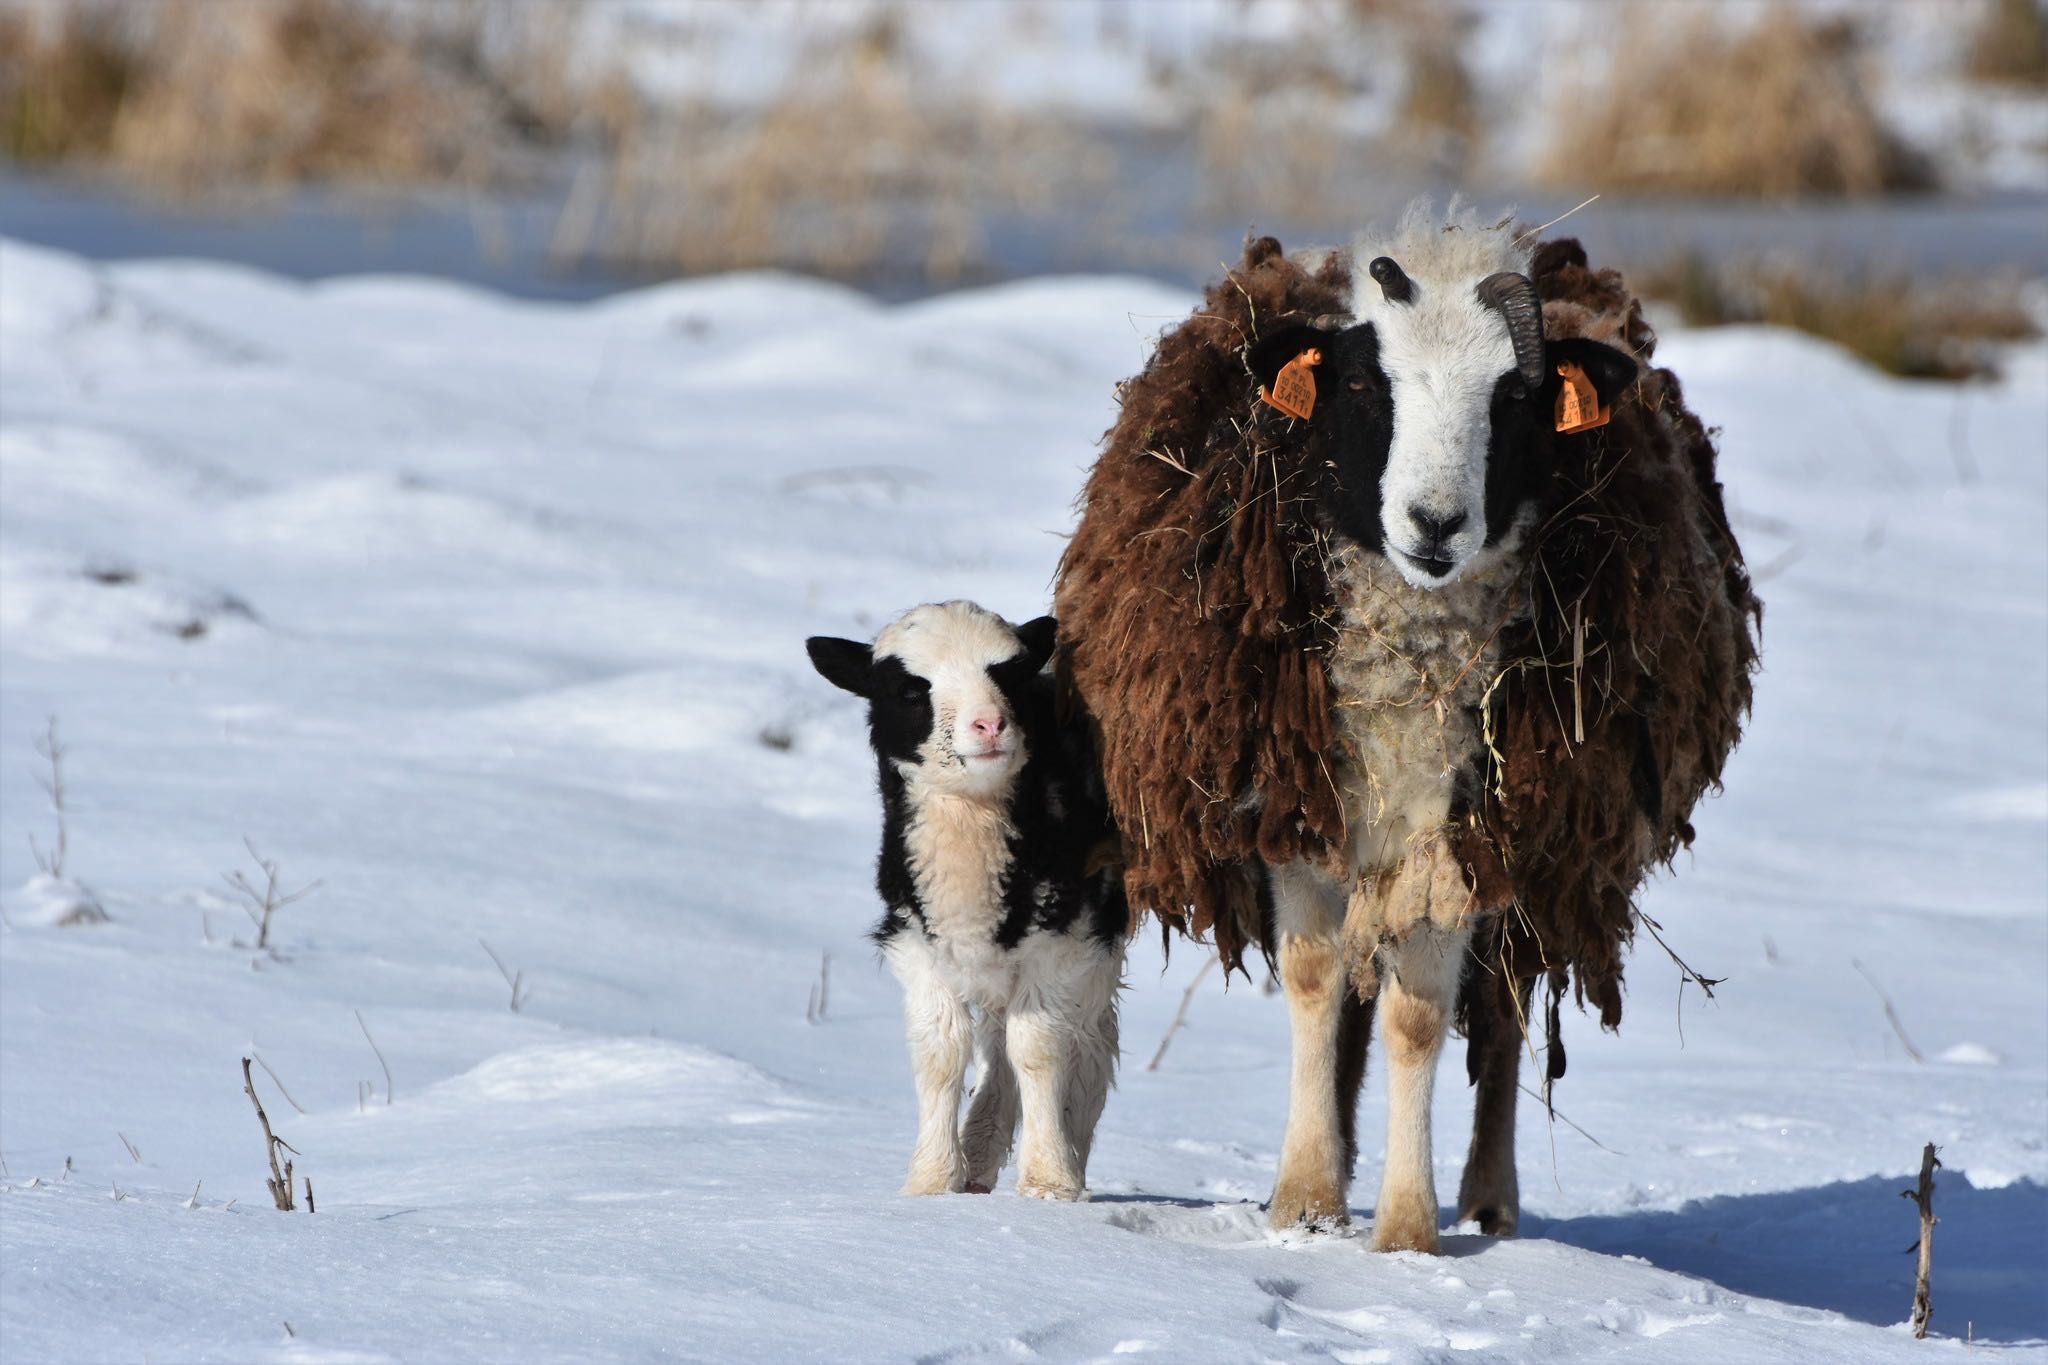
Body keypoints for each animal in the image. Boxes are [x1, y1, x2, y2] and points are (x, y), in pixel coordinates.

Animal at [802, 601, 1122, 1203]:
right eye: (910, 691)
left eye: (1009, 676)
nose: (990, 725)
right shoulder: (915, 939)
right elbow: (941, 1054)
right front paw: (930, 1182)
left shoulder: (1063, 940)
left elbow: (1039, 1048)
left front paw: (1048, 1182)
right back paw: (979, 1155)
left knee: (1089, 1041)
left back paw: (1068, 1152)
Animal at [1056, 197, 1761, 1252]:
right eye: (1361, 381)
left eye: (1517, 399)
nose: (1434, 522)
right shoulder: (1298, 811)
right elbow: (1315, 983)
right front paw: (1306, 1197)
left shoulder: (1461, 834)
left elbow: (1419, 1020)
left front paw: (1405, 1232)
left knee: (1503, 1014)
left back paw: (1490, 1200)